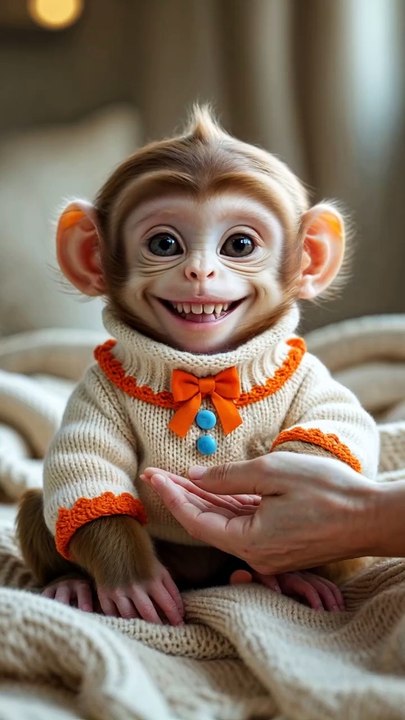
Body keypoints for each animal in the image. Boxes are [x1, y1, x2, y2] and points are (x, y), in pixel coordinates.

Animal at [17, 105, 379, 624]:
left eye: (240, 245)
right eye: (165, 244)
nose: (199, 271)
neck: (204, 371)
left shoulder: (307, 370)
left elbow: (338, 423)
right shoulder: (95, 387)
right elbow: (88, 466)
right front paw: (132, 580)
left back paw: (289, 576)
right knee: (41, 501)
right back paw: (70, 583)